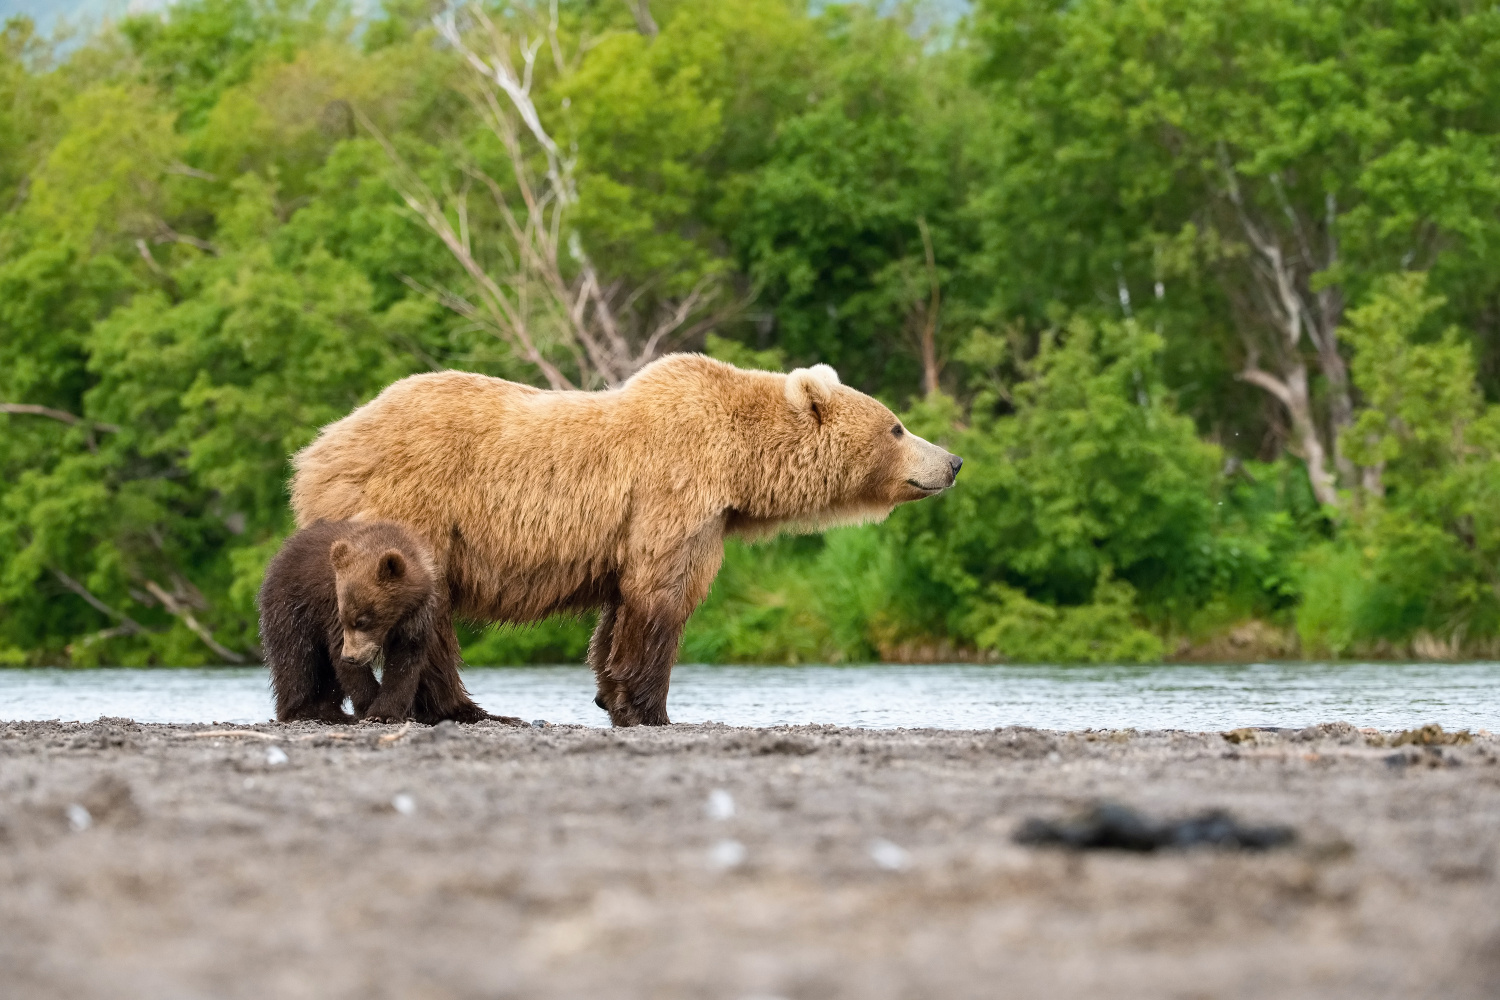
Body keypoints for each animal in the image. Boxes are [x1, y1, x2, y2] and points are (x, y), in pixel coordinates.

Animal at [256, 521, 492, 722]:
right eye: (346, 619)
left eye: (362, 621)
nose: (350, 657)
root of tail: (282, 551)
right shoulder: (333, 606)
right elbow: (343, 660)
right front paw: (370, 706)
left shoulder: (417, 615)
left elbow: (404, 662)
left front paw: (385, 713)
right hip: (291, 605)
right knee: (296, 658)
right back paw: (303, 711)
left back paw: (331, 712)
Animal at [289, 353, 960, 728]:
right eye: (898, 426)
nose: (952, 461)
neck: (737, 465)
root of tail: (318, 451)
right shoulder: (674, 494)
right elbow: (661, 597)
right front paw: (650, 708)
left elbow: (619, 611)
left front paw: (610, 694)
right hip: (413, 509)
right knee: (422, 613)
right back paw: (470, 708)